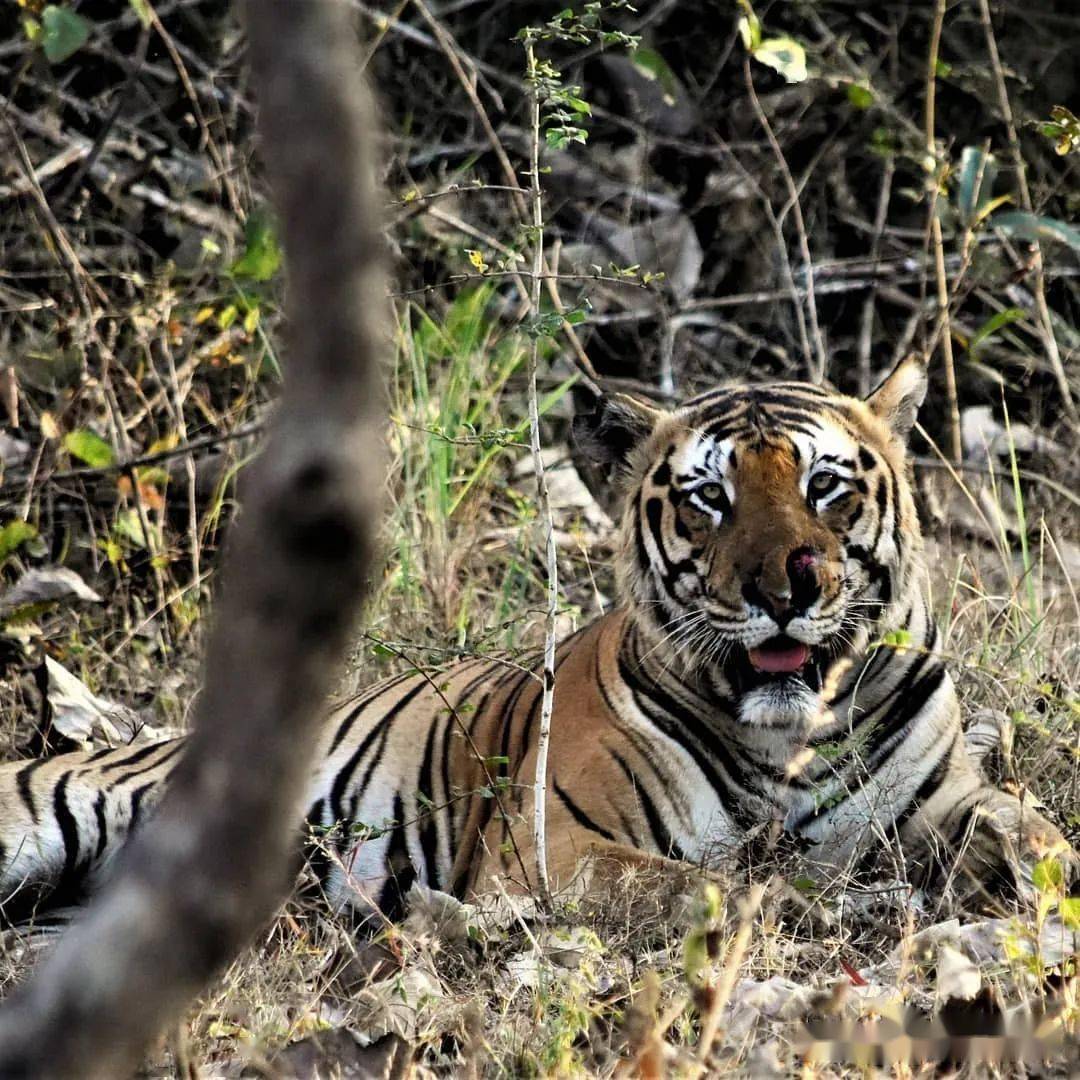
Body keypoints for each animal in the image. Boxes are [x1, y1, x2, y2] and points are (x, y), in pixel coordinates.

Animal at [0, 356, 1071, 928]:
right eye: (709, 499)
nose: (783, 590)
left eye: (826, 487)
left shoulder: (943, 801)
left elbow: (1032, 826)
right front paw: (829, 907)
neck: (788, 735)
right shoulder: (563, 845)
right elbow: (715, 889)